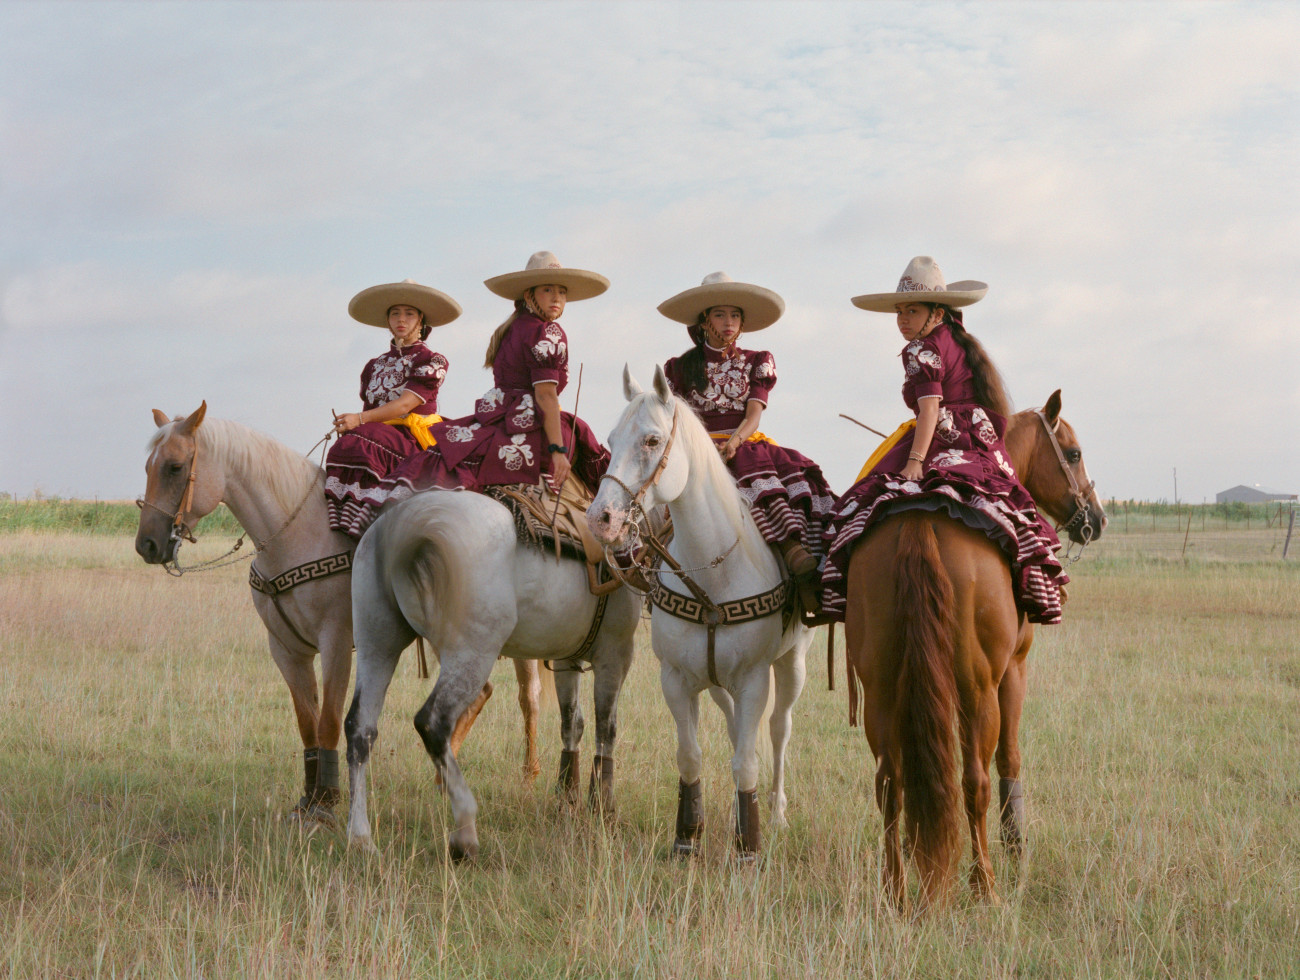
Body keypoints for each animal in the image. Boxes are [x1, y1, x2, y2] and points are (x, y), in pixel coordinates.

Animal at [134, 402, 544, 827]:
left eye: (175, 467)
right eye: (149, 466)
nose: (147, 544)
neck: (296, 533)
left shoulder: (336, 641)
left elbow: (329, 721)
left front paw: (326, 804)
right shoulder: (286, 649)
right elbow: (307, 723)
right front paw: (308, 800)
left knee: (527, 698)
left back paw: (526, 777)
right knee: (482, 692)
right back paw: (444, 777)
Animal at [343, 474, 643, 861]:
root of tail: (408, 524)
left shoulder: (567, 659)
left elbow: (571, 724)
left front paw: (568, 798)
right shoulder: (616, 656)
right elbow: (606, 729)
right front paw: (604, 808)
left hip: (376, 644)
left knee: (359, 729)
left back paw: (361, 837)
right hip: (472, 653)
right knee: (433, 723)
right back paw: (464, 833)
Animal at [587, 366, 815, 859]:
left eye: (652, 440)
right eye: (611, 439)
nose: (601, 520)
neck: (715, 573)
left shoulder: (753, 680)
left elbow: (748, 761)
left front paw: (749, 847)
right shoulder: (677, 679)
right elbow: (691, 756)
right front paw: (688, 837)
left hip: (792, 665)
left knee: (778, 731)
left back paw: (776, 813)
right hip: (715, 683)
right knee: (733, 731)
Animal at [844, 390, 1106, 911]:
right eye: (1073, 454)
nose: (1097, 518)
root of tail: (919, 523)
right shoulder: (1015, 670)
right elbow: (1010, 760)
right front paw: (1016, 845)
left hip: (881, 686)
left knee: (889, 783)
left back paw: (895, 889)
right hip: (977, 686)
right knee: (975, 781)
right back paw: (984, 884)